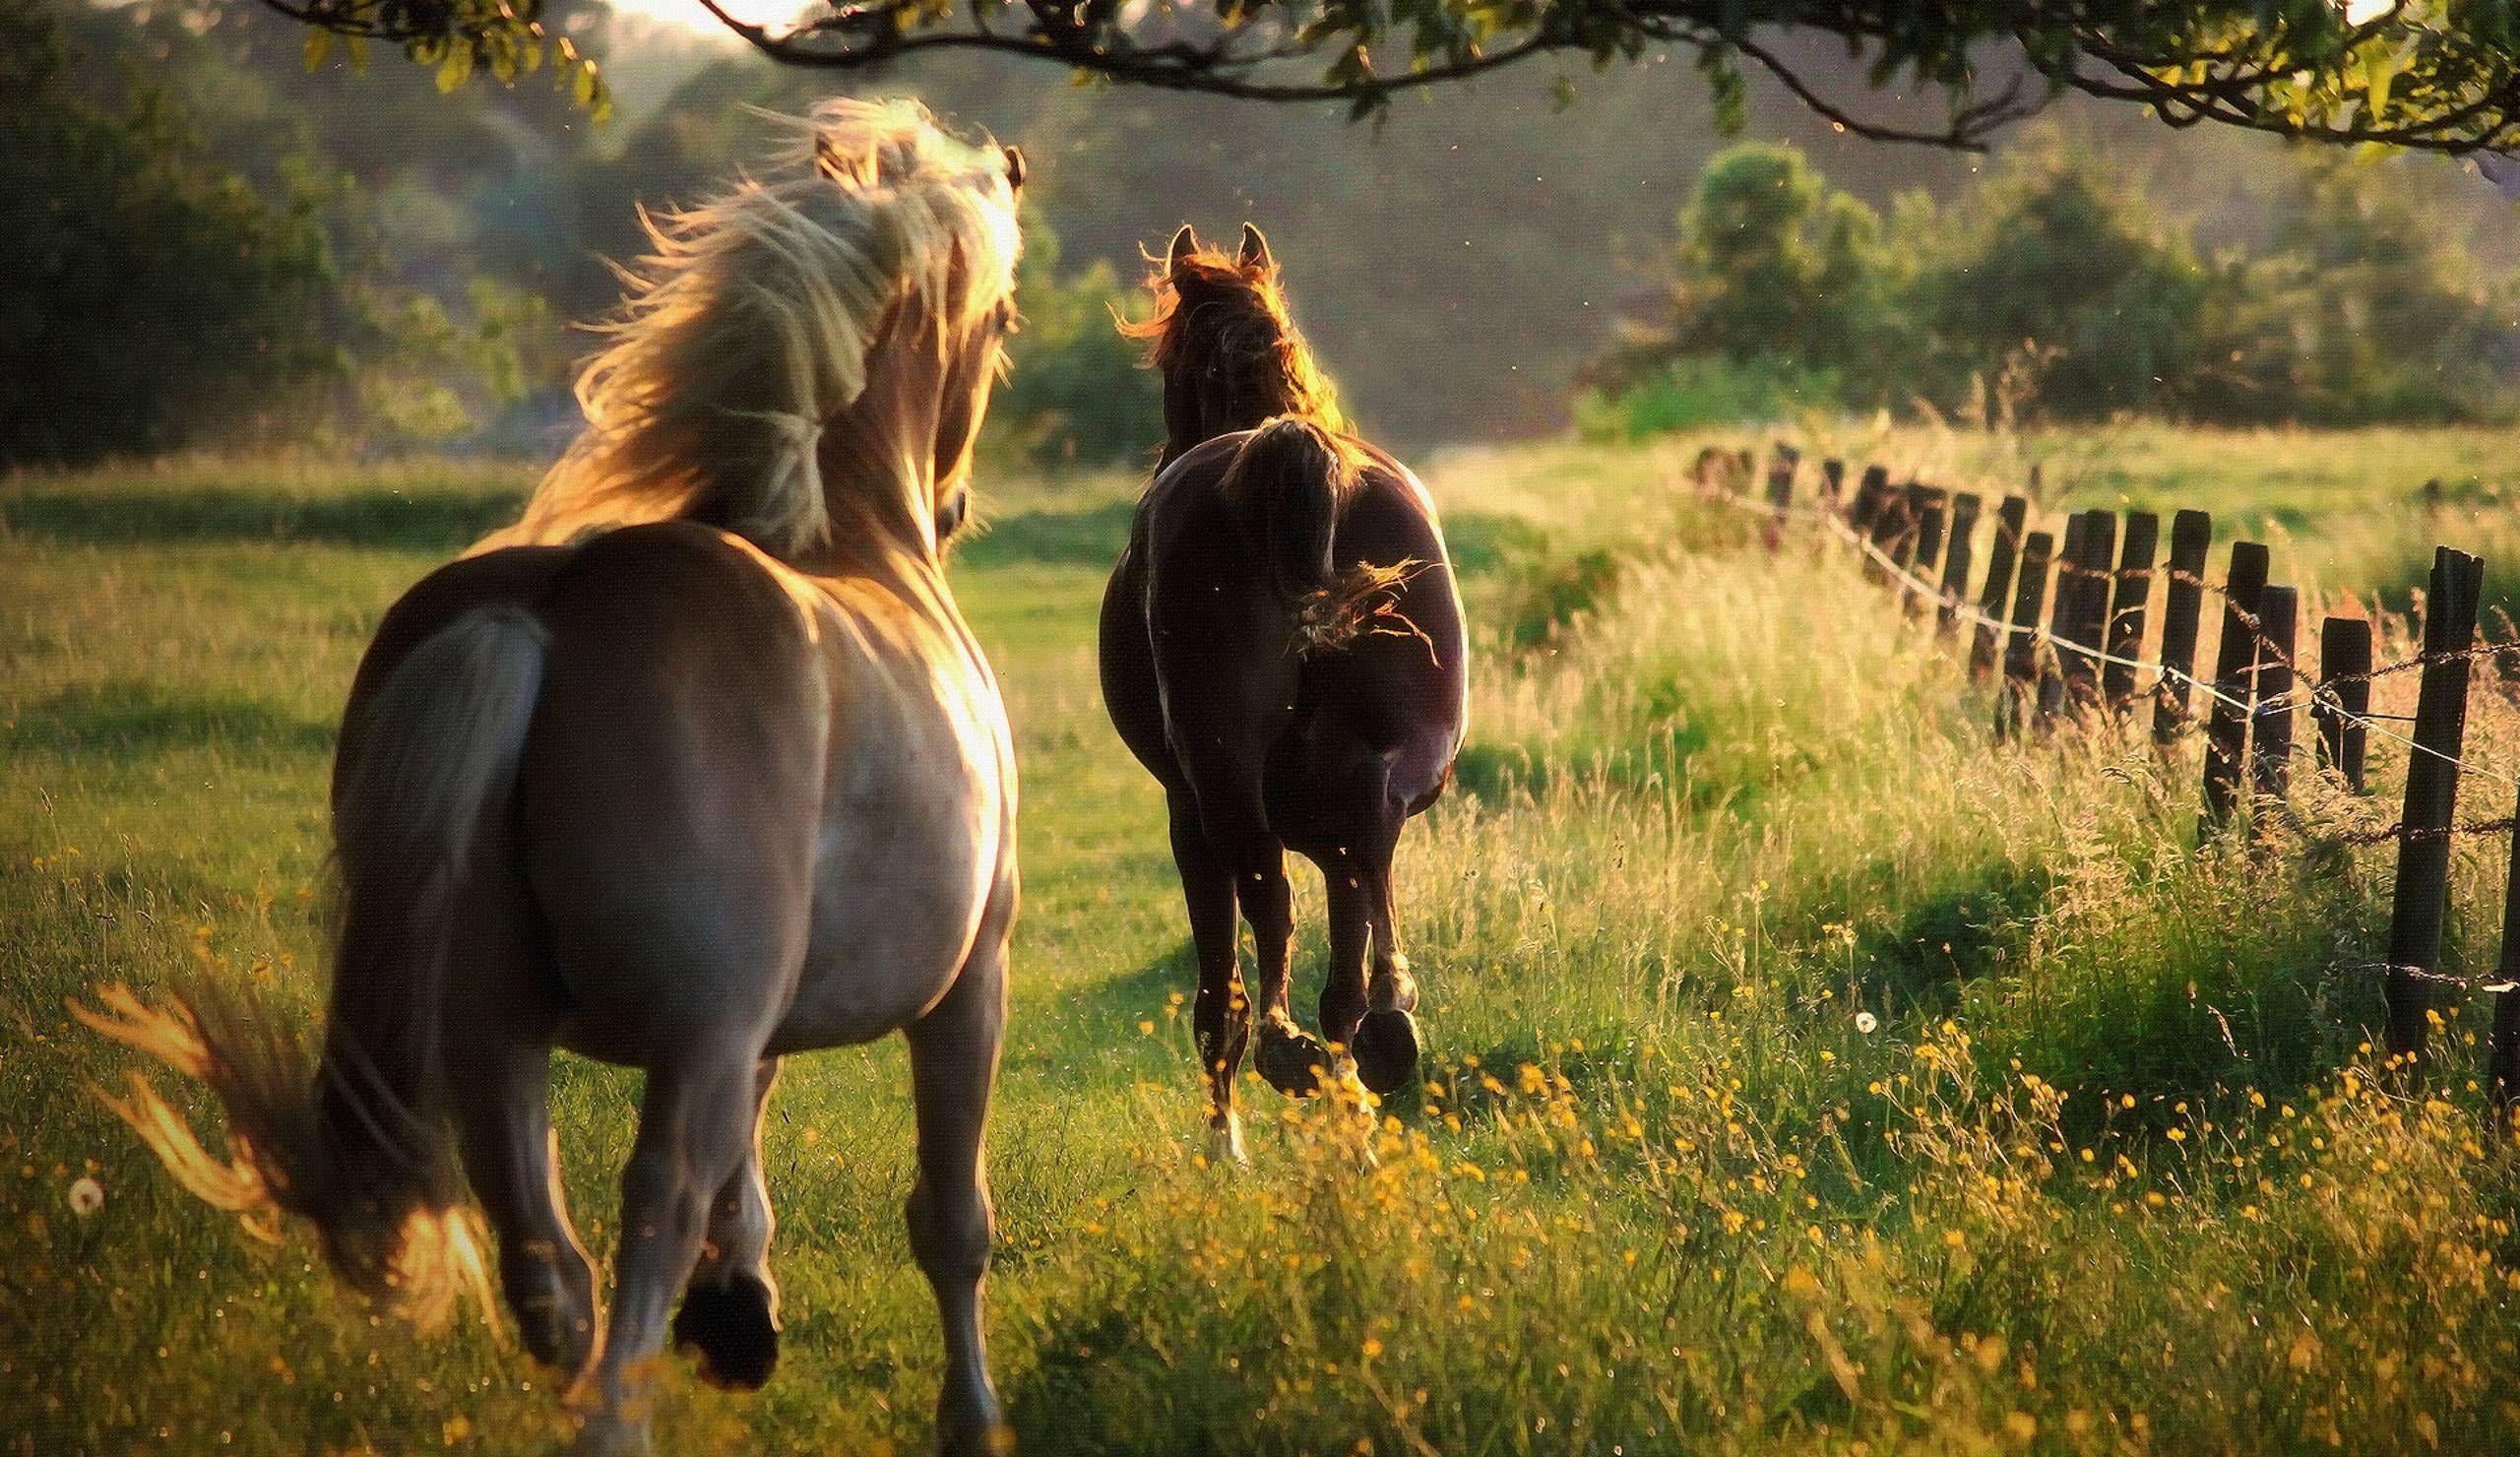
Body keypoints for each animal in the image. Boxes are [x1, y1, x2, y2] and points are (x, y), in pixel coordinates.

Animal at [75, 100, 1027, 1457]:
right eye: (1000, 324)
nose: (950, 505)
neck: (855, 538)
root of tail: (542, 612)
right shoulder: (962, 985)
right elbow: (951, 1226)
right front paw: (968, 1414)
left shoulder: (761, 1014)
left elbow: (759, 1159)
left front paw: (742, 1314)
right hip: (683, 1040)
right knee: (645, 1227)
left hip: (494, 1039)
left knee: (550, 1268)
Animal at [1097, 223, 1469, 1163]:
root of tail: (1289, 455)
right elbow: (1351, 911)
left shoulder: (1185, 811)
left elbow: (1219, 978)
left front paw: (1224, 1143)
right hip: (1386, 766)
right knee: (1363, 872)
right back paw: (1376, 1045)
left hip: (1220, 786)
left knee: (1266, 903)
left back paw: (1282, 1059)